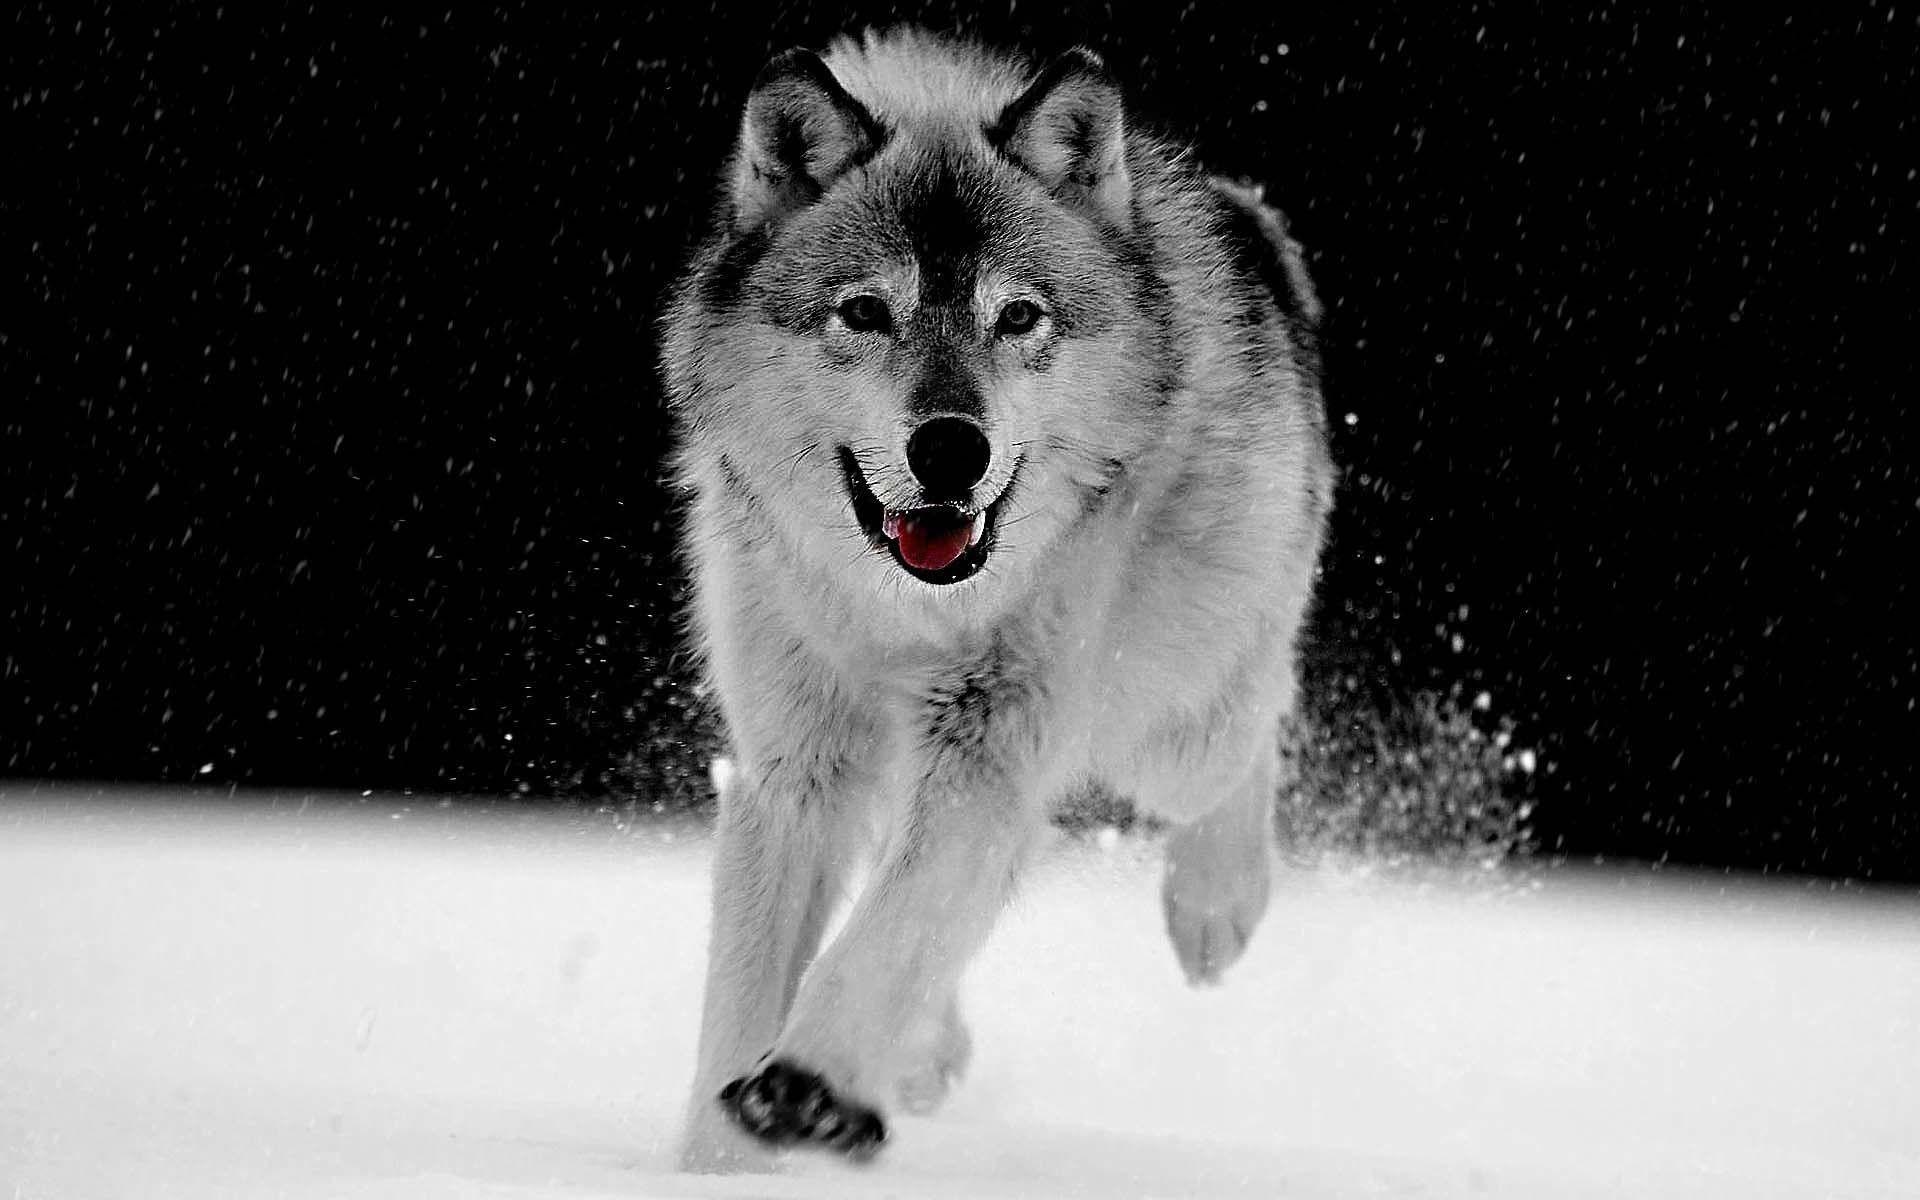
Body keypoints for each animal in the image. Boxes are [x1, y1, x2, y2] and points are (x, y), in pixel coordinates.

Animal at [659, 28, 1333, 1171]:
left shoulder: (992, 742)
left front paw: (807, 1085)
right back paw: (924, 1054)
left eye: (1018, 317)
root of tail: (1247, 214)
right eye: (865, 312)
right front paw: (723, 1162)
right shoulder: (793, 768)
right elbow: (748, 996)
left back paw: (1215, 909)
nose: (950, 448)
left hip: (1168, 725)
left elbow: (888, 933)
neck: (901, 615)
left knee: (1252, 720)